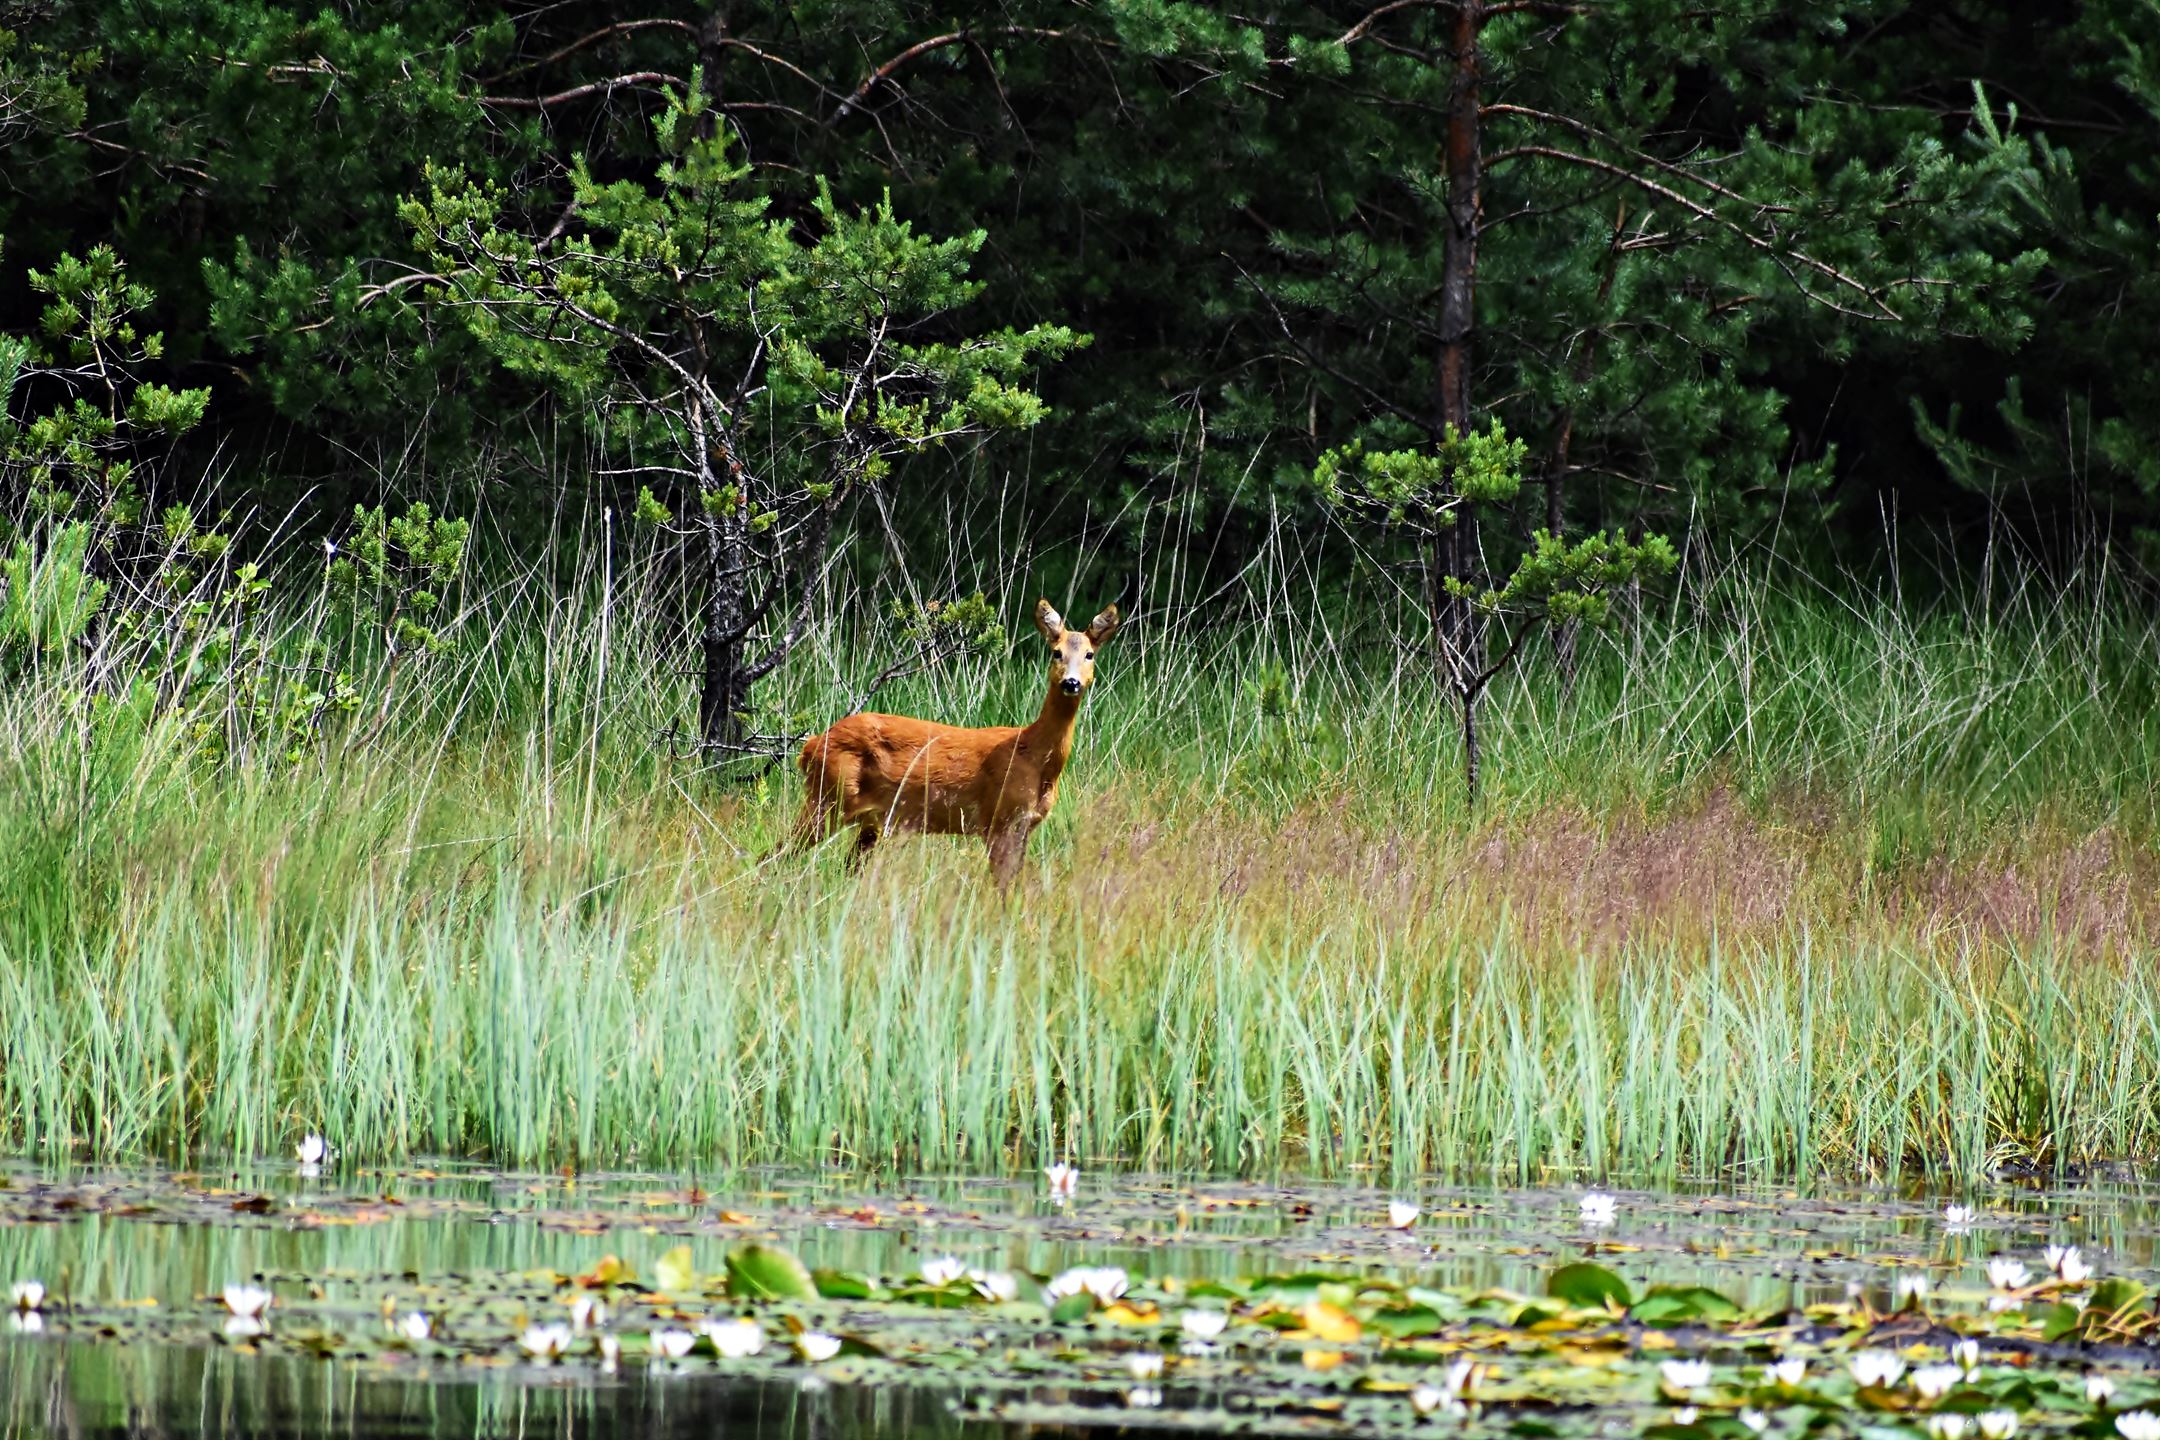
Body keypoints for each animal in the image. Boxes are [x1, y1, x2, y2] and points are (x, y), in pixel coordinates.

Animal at [786, 600, 1123, 889]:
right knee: (779, 853)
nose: (1071, 682)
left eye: (1090, 654)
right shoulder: (998, 819)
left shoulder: (1024, 826)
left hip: (867, 820)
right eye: (1056, 652)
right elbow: (1003, 890)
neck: (1035, 755)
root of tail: (811, 746)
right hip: (827, 798)